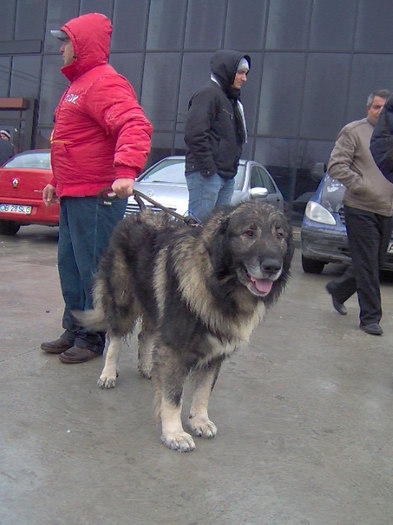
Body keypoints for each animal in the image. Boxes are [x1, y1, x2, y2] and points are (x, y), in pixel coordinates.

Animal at [77, 200, 290, 450]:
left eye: (280, 235)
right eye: (249, 233)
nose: (272, 266)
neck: (219, 288)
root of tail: (137, 213)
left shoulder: (215, 351)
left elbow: (203, 391)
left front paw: (199, 420)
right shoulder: (174, 347)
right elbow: (173, 396)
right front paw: (174, 433)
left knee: (144, 335)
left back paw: (147, 367)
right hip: (123, 299)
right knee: (115, 337)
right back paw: (108, 373)